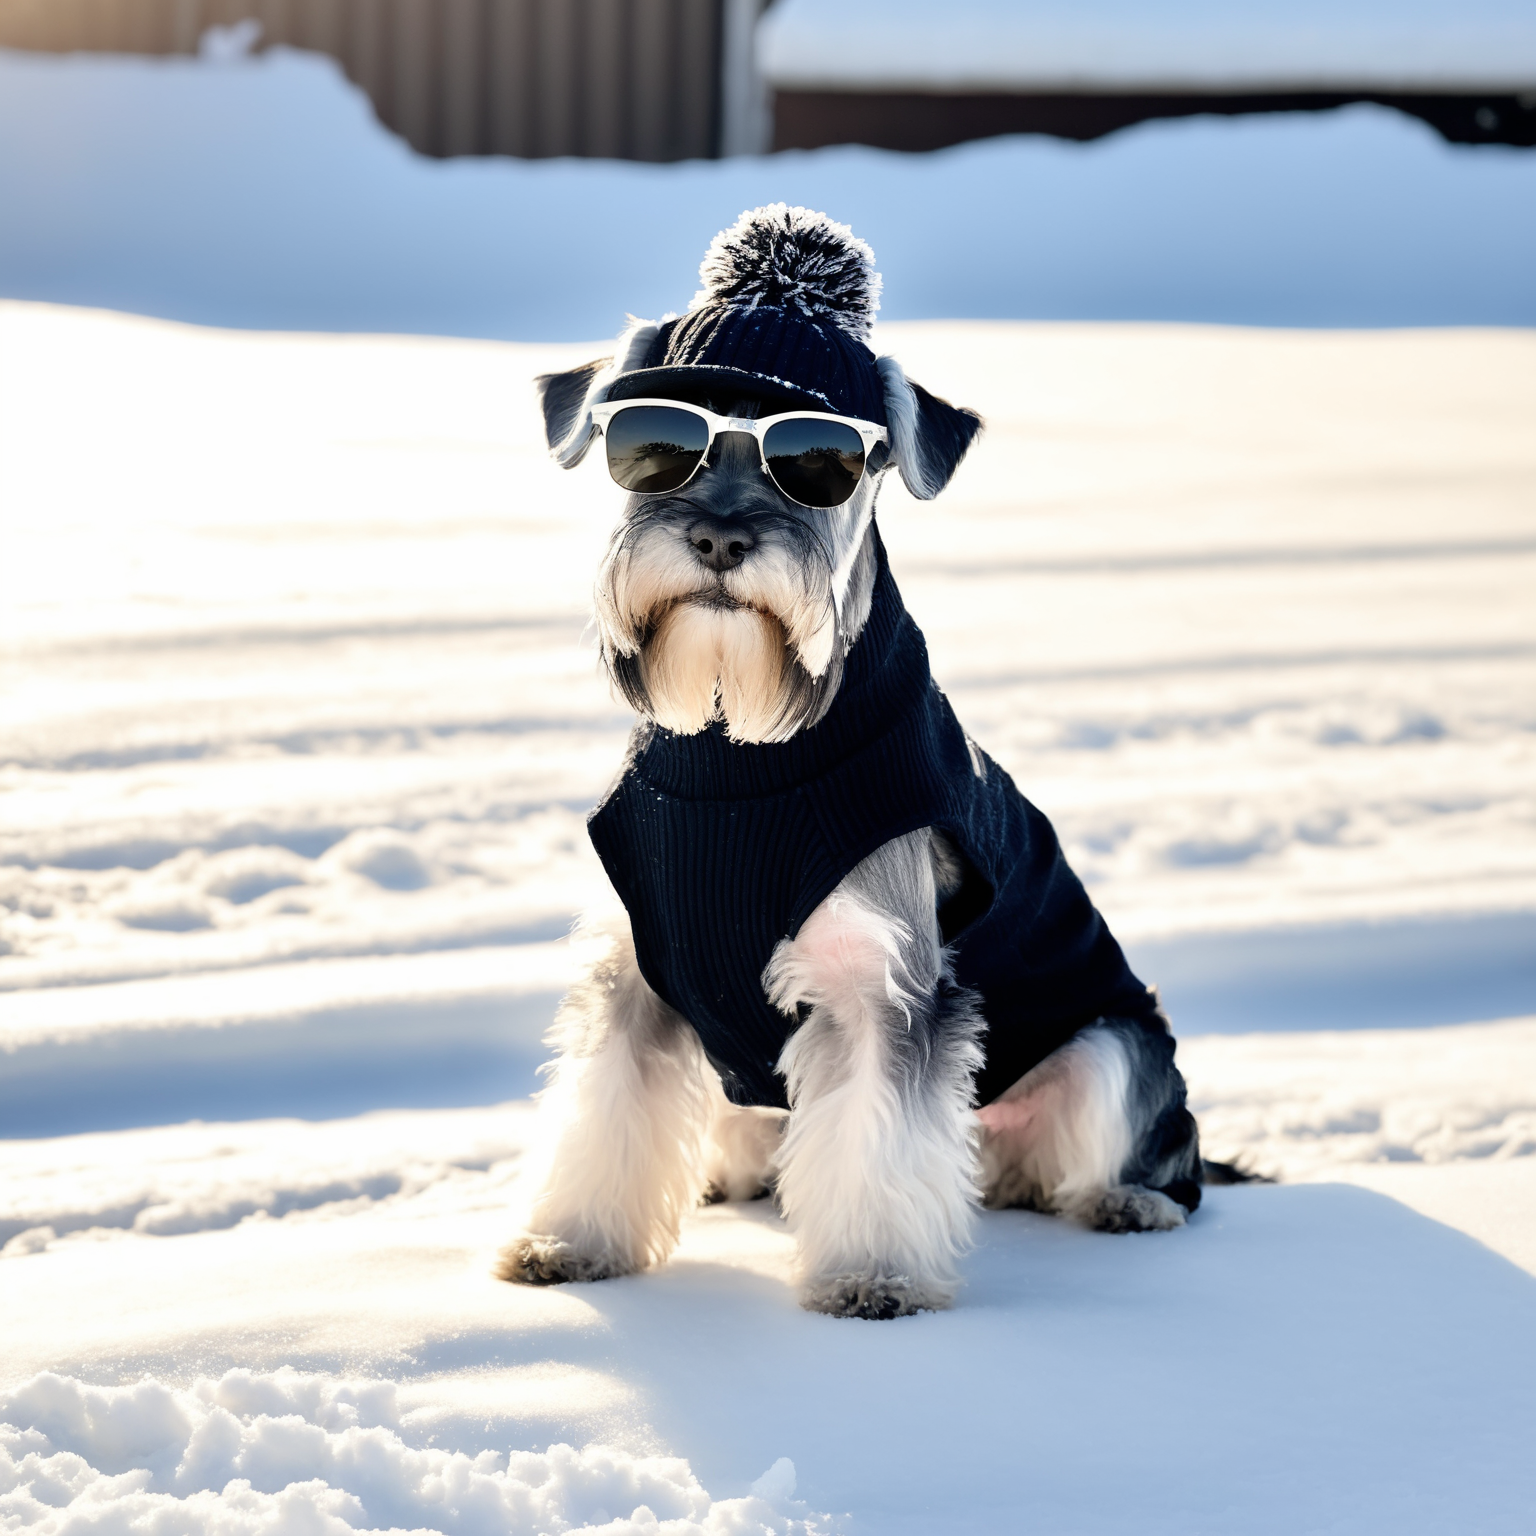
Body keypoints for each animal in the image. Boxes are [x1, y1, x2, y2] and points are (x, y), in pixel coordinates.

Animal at [497, 201, 1204, 1320]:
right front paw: (571, 1242)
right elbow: (604, 1116)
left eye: (818, 465)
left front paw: (873, 1278)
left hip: (1108, 1045)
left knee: (1113, 1139)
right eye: (656, 446)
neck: (737, 760)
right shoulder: (635, 979)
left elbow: (880, 1139)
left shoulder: (885, 985)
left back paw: (1131, 1202)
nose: (719, 538)